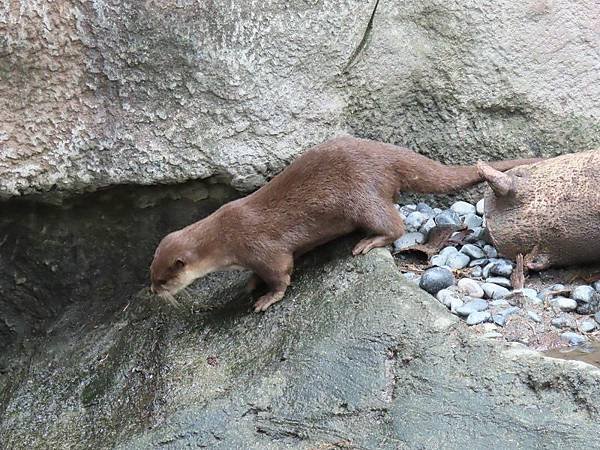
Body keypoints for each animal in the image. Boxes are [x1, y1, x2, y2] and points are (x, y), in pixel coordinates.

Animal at [149, 137, 540, 312]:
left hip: (362, 197)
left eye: (164, 278)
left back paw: (367, 243)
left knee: (394, 224)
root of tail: (385, 152)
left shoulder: (262, 247)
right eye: (151, 272)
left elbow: (281, 273)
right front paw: (249, 283)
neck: (225, 236)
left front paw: (266, 297)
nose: (154, 291)